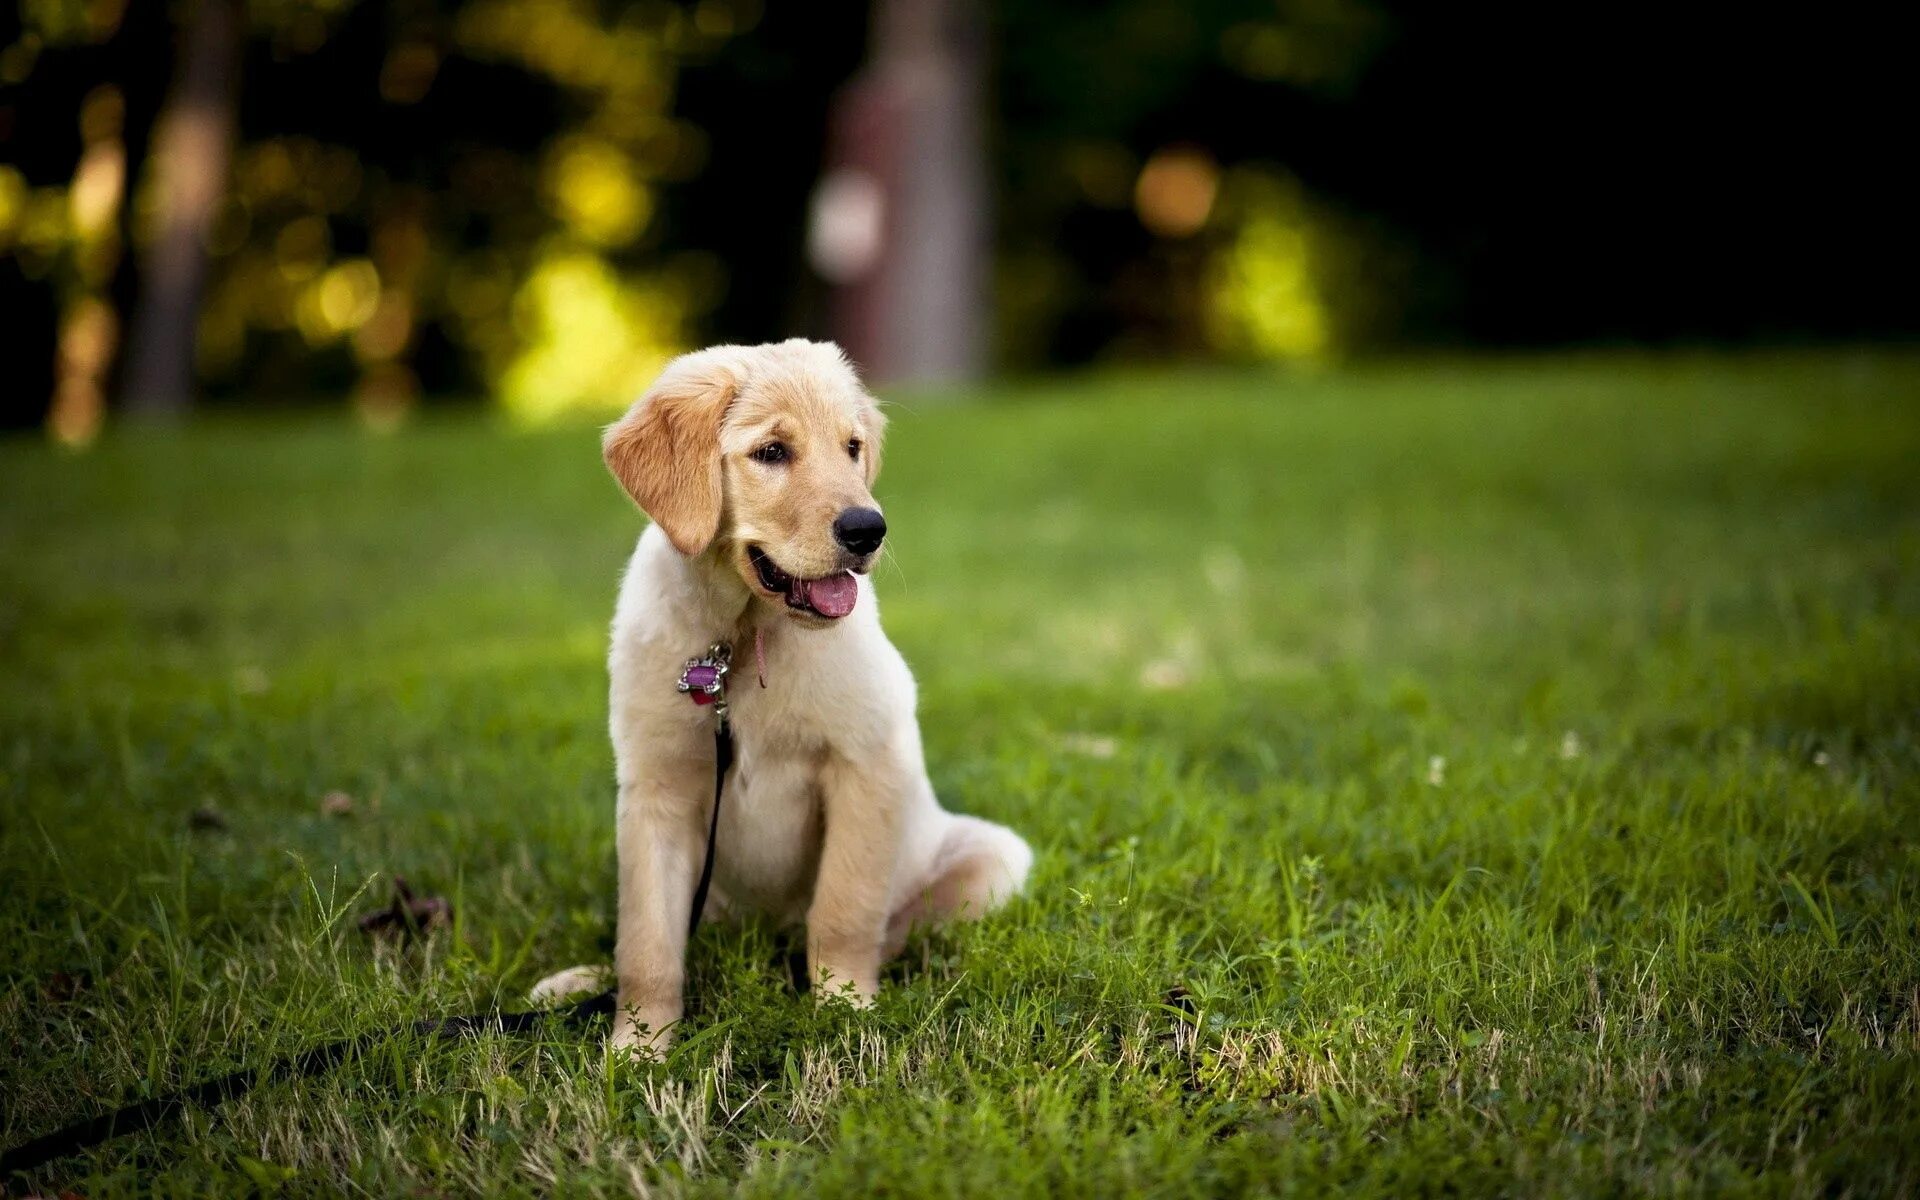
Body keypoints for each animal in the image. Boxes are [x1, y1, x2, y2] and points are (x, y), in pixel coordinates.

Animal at [526, 341, 1036, 1052]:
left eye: (852, 447)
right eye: (771, 452)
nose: (868, 529)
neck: (740, 639)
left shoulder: (866, 759)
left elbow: (844, 909)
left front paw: (847, 1009)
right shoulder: (656, 791)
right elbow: (648, 940)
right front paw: (639, 1048)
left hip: (994, 859)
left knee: (890, 929)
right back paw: (575, 983)